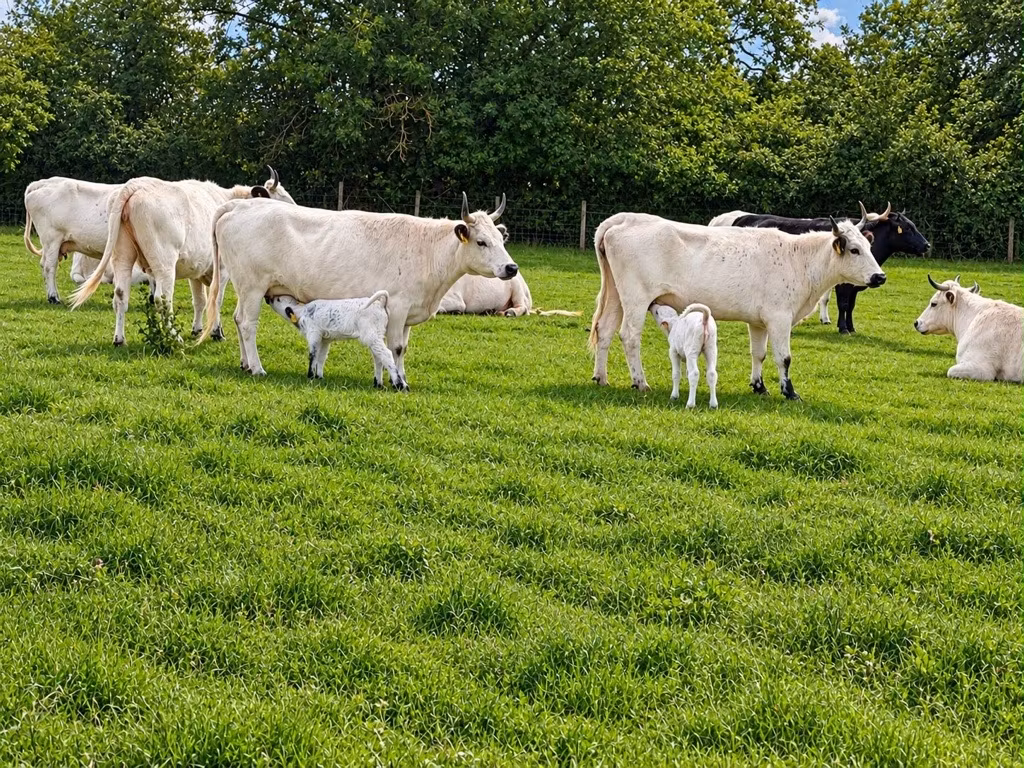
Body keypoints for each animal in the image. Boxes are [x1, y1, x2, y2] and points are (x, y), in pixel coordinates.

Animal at [69, 168, 294, 345]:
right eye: (281, 197)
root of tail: (136, 185)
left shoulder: (197, 271)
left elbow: (200, 301)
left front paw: (197, 329)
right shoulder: (222, 271)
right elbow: (216, 300)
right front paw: (216, 332)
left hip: (122, 256)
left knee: (120, 295)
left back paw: (119, 339)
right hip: (164, 263)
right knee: (162, 299)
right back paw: (173, 337)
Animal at [197, 193, 518, 390]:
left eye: (499, 238)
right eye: (481, 242)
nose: (512, 267)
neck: (428, 252)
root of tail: (239, 205)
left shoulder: (408, 312)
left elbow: (403, 348)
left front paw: (396, 377)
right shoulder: (397, 307)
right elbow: (395, 348)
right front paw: (399, 381)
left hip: (243, 286)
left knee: (238, 319)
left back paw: (244, 364)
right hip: (252, 285)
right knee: (248, 323)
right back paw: (257, 367)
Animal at [589, 212, 885, 400]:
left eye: (869, 247)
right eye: (854, 250)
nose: (880, 276)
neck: (799, 260)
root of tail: (625, 218)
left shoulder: (759, 321)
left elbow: (759, 354)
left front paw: (759, 386)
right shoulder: (779, 317)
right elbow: (784, 357)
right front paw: (789, 392)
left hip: (616, 295)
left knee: (604, 330)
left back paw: (601, 377)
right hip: (636, 298)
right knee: (629, 336)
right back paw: (640, 382)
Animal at [710, 203, 930, 332]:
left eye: (914, 226)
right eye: (907, 228)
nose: (927, 245)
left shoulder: (854, 286)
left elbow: (850, 305)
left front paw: (850, 327)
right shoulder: (843, 285)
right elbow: (843, 304)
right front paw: (843, 328)